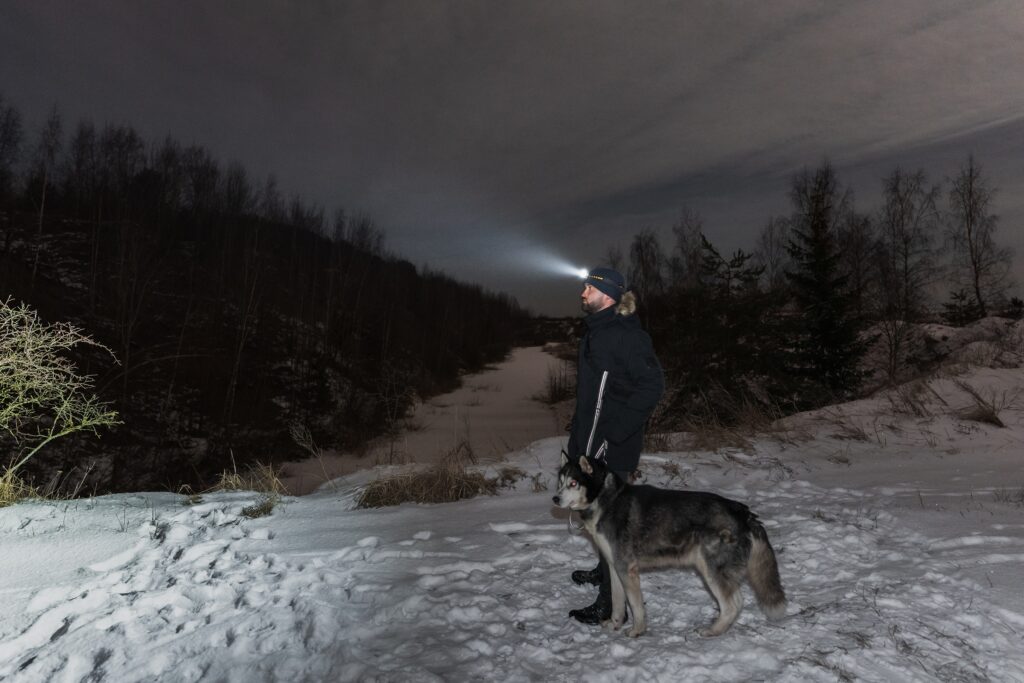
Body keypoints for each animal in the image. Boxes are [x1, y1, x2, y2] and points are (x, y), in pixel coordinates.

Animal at [557, 454, 786, 643]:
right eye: (560, 483)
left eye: (573, 483)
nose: (555, 498)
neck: (606, 499)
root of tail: (744, 513)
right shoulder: (614, 568)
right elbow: (618, 601)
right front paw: (615, 624)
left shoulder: (627, 569)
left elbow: (636, 605)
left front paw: (637, 630)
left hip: (711, 570)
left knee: (733, 605)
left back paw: (712, 631)